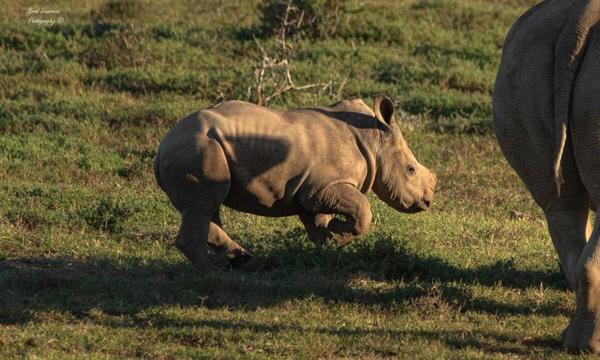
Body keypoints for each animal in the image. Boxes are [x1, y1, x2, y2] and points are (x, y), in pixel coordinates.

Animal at [155, 95, 436, 270]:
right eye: (411, 170)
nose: (427, 201)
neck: (374, 139)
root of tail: (161, 149)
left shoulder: (313, 189)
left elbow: (317, 223)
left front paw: (331, 245)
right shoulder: (321, 187)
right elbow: (362, 209)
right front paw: (338, 231)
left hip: (198, 150)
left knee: (206, 207)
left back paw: (241, 260)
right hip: (197, 149)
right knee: (203, 205)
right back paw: (212, 274)